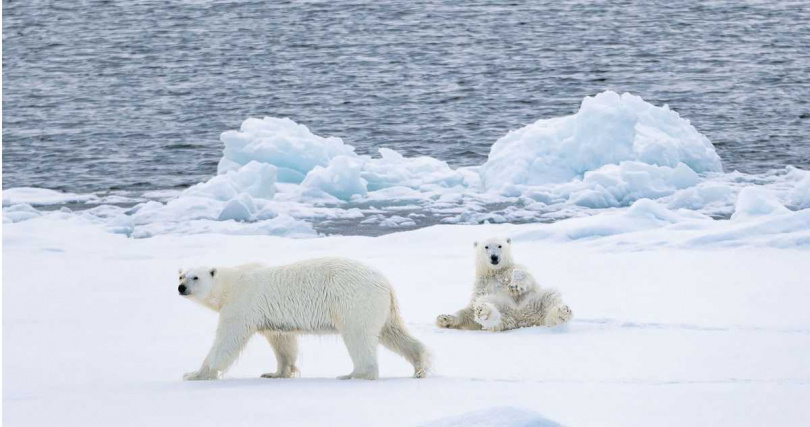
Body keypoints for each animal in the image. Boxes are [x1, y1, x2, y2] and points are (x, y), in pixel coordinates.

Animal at [177, 258, 430, 382]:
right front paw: (275, 373)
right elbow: (282, 342)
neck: (231, 284)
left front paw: (194, 374)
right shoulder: (271, 316)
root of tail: (386, 282)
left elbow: (227, 341)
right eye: (180, 275)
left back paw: (353, 375)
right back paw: (420, 366)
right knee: (393, 332)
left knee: (359, 336)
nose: (181, 288)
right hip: (382, 308)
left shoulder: (241, 305)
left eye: (195, 277)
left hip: (354, 301)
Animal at [432, 237, 572, 334]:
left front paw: (515, 286)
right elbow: (471, 309)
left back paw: (562, 313)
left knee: (550, 297)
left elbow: (526, 276)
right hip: (502, 307)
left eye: (500, 246)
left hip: (534, 301)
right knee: (488, 309)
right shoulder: (482, 284)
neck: (496, 272)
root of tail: (521, 319)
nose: (494, 257)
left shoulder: (510, 270)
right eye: (486, 247)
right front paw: (444, 319)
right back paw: (485, 312)